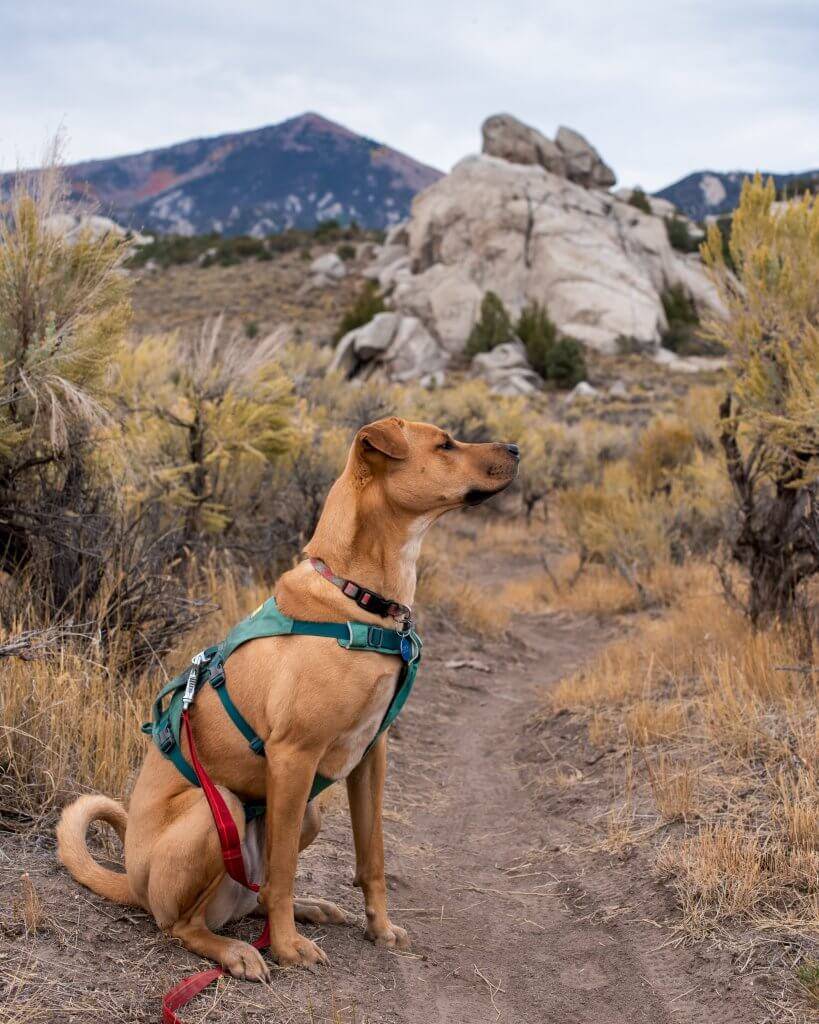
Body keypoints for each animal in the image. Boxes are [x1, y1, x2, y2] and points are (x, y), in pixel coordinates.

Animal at [57, 415, 518, 974]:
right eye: (445, 445)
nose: (516, 447)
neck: (357, 599)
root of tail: (132, 879)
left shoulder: (372, 755)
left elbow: (373, 857)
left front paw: (380, 929)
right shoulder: (293, 756)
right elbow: (283, 874)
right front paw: (286, 947)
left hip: (308, 813)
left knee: (253, 895)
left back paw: (309, 909)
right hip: (221, 810)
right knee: (186, 923)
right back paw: (237, 952)